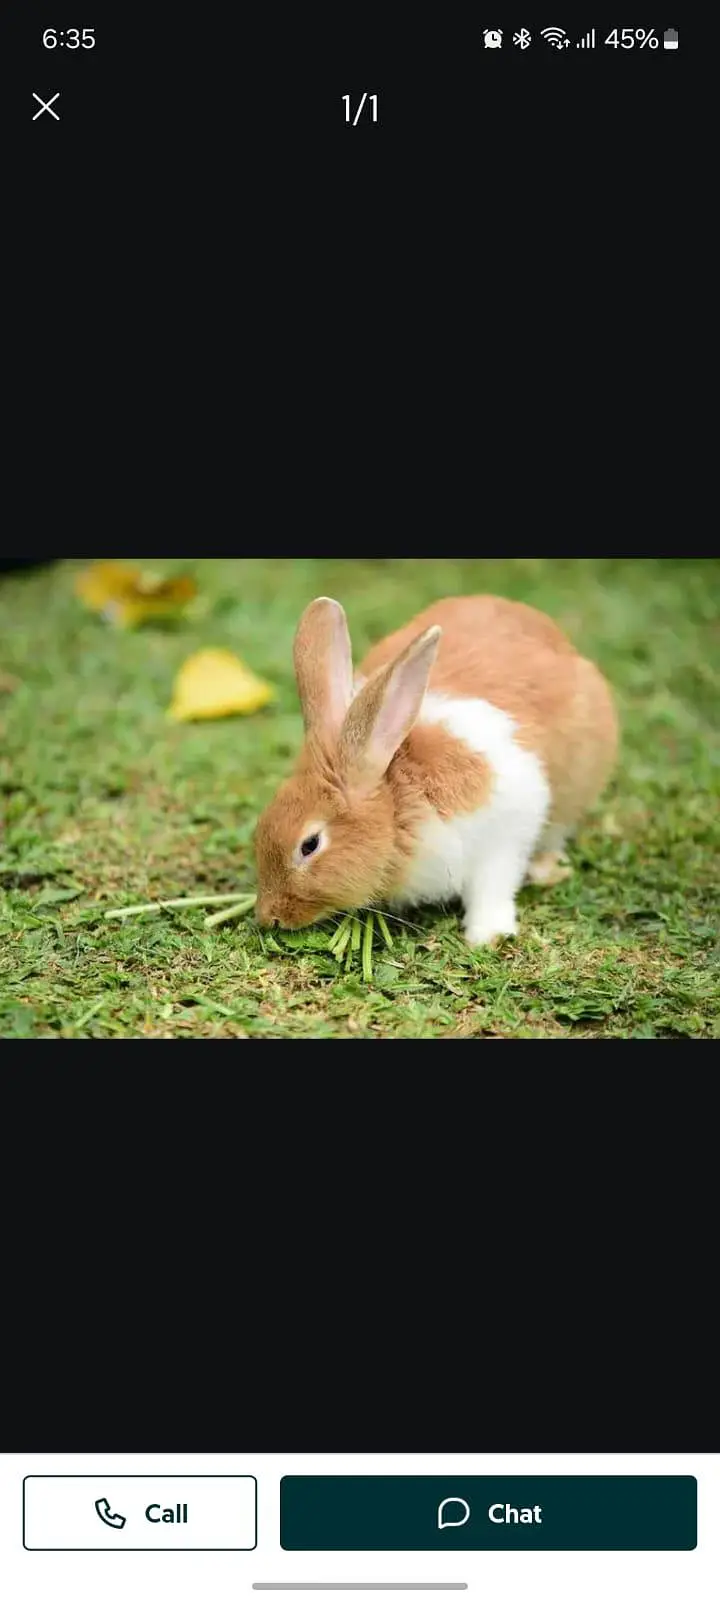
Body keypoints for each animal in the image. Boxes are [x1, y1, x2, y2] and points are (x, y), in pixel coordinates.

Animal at [254, 595, 618, 946]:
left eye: (310, 845)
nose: (269, 917)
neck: (399, 804)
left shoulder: (505, 832)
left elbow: (493, 888)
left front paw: (487, 936)